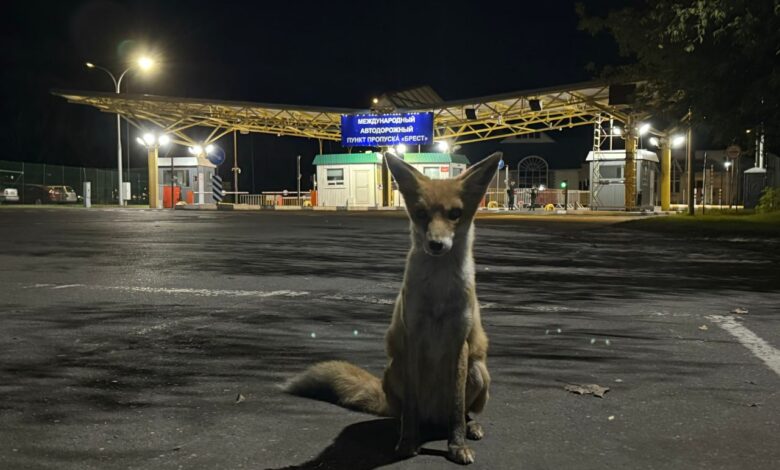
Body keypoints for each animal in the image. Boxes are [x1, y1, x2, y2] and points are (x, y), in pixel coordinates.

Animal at [284, 151, 503, 465]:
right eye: (421, 214)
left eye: (454, 214)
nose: (436, 245)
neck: (438, 293)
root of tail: (433, 420)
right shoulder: (412, 337)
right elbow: (410, 407)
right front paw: (408, 443)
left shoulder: (459, 340)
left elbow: (457, 407)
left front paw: (456, 445)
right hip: (394, 371)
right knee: (404, 414)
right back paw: (404, 429)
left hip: (478, 371)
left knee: (461, 412)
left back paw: (470, 426)